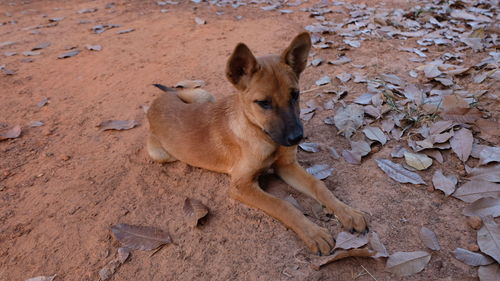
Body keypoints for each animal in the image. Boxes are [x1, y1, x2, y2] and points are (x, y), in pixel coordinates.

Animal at [146, 32, 370, 254]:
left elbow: (319, 185)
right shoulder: (240, 185)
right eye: (263, 103)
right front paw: (314, 233)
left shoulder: (286, 165)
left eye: (295, 95)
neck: (260, 133)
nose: (296, 138)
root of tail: (160, 100)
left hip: (204, 96)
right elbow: (283, 205)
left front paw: (348, 212)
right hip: (161, 154)